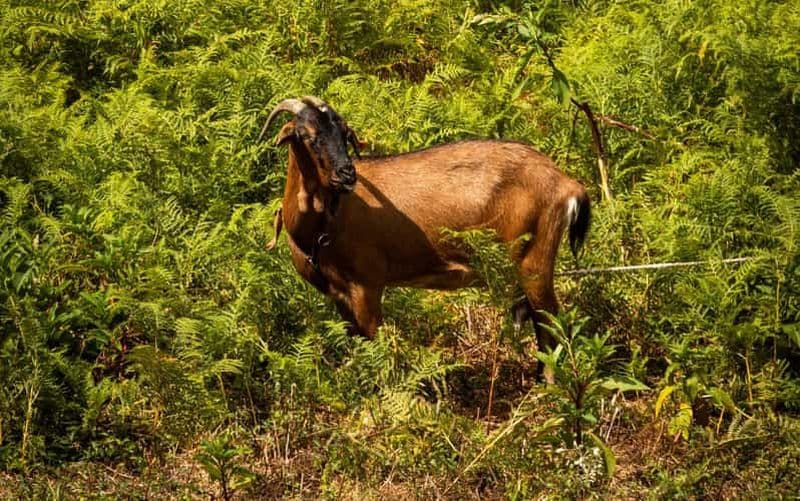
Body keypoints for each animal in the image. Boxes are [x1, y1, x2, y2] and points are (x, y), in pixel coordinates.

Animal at [259, 96, 591, 380]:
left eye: (344, 134)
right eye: (306, 135)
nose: (347, 174)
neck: (323, 225)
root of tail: (566, 183)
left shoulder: (367, 284)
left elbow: (374, 341)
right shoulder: (337, 293)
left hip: (533, 259)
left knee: (552, 323)